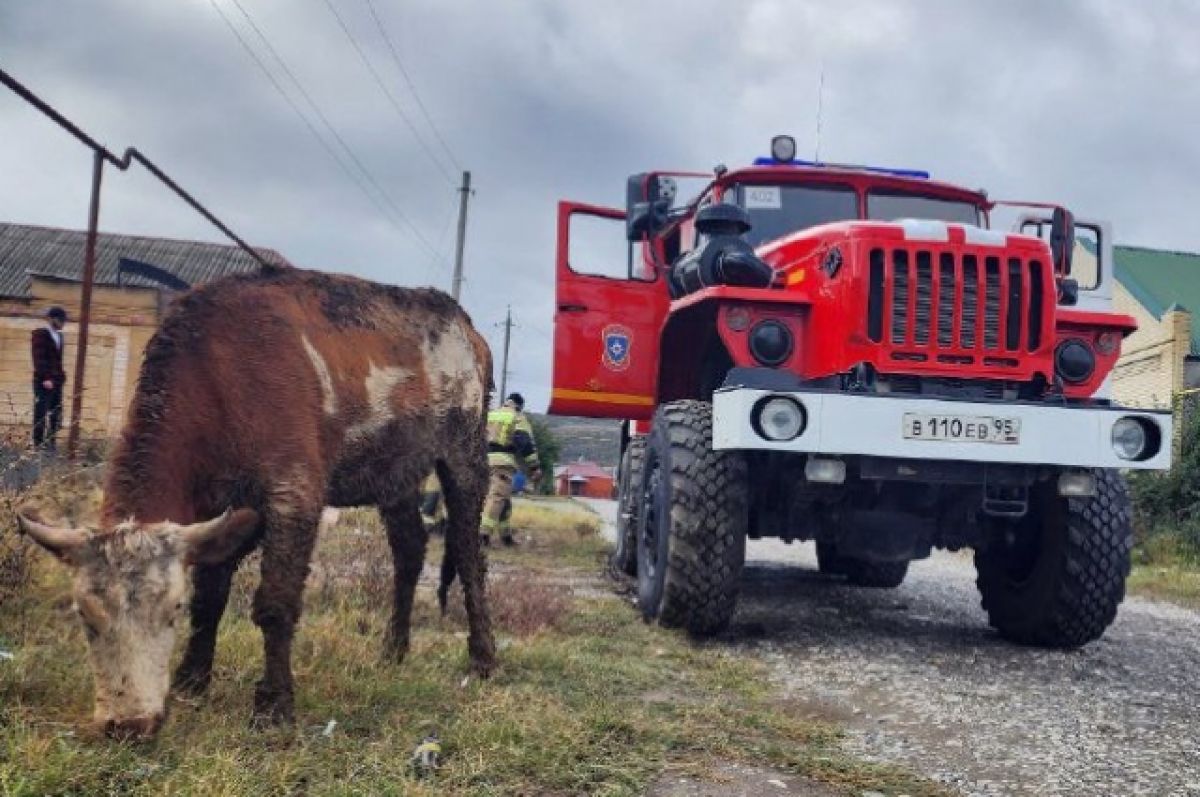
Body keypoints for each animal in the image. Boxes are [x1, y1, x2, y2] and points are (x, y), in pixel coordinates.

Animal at [15, 264, 492, 739]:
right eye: (84, 616)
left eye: (172, 609)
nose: (129, 724)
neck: (215, 379)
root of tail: (465, 325)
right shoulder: (220, 505)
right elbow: (212, 594)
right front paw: (192, 679)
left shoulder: (294, 492)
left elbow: (274, 604)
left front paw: (274, 705)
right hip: (396, 472)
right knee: (409, 549)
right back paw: (393, 650)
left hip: (465, 451)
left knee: (468, 553)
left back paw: (482, 657)